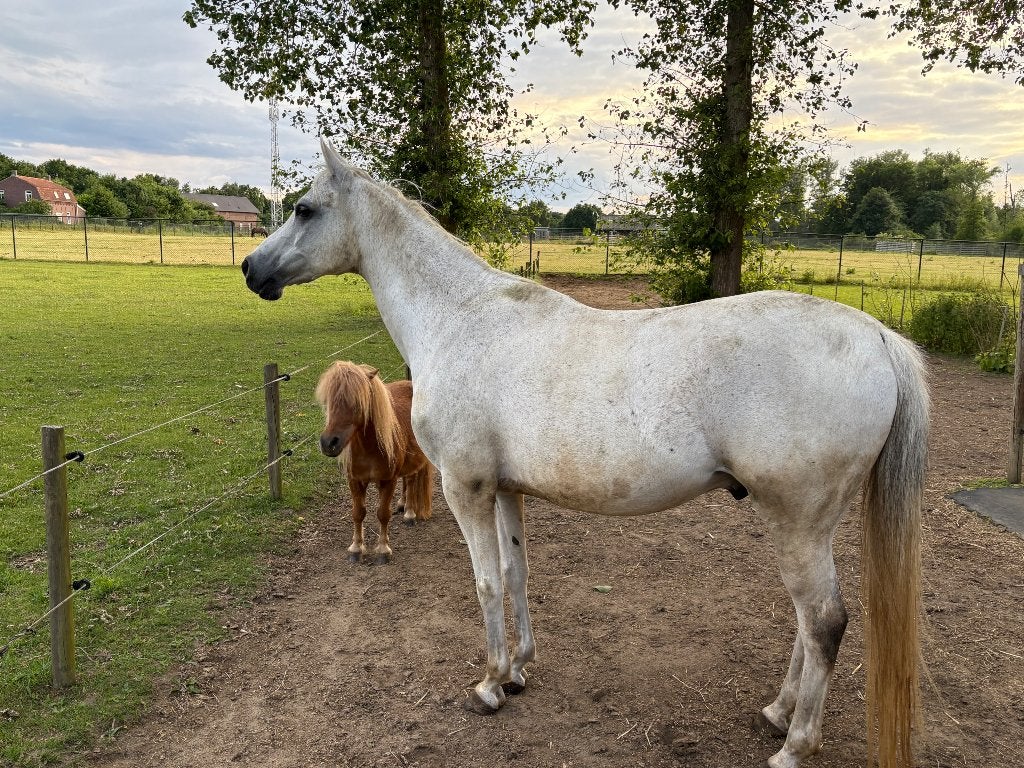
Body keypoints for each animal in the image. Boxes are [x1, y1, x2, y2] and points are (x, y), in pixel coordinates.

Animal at [314, 360, 435, 564]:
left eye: (356, 402)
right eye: (328, 401)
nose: (328, 443)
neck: (368, 449)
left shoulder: (387, 481)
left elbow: (382, 514)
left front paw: (383, 550)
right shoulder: (355, 481)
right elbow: (358, 513)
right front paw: (356, 548)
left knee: (411, 480)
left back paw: (410, 513)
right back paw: (402, 504)